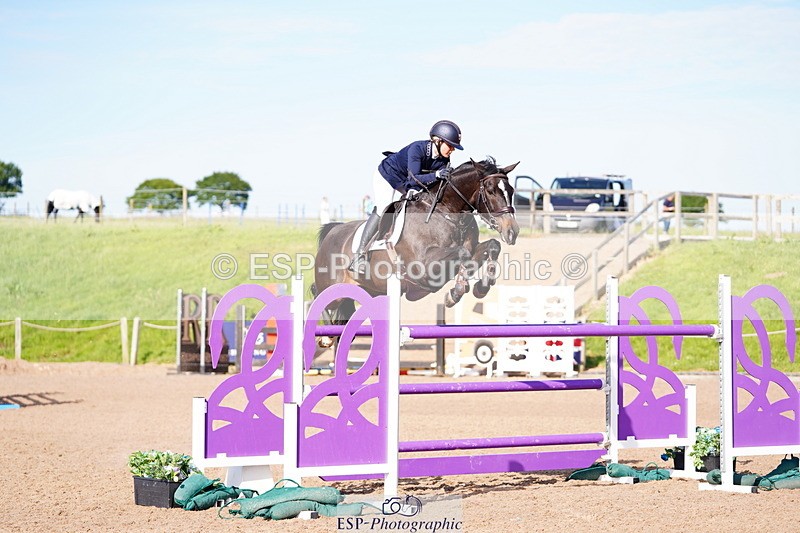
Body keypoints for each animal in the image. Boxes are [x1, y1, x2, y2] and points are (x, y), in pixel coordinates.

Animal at [314, 157, 520, 323]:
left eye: (511, 190)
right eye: (491, 190)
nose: (513, 231)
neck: (447, 213)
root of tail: (333, 230)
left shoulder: (471, 249)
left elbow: (490, 246)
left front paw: (478, 287)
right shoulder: (423, 266)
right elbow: (463, 253)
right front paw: (457, 291)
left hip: (368, 291)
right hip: (331, 290)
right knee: (317, 296)